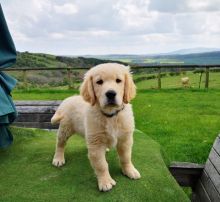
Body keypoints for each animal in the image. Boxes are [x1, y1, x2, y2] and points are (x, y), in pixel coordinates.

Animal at [51, 62, 140, 191]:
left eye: (118, 80)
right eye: (99, 82)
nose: (111, 93)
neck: (110, 115)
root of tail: (67, 100)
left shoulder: (125, 139)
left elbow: (126, 157)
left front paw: (129, 170)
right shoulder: (96, 143)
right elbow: (101, 164)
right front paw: (105, 181)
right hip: (65, 128)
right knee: (60, 143)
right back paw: (58, 158)